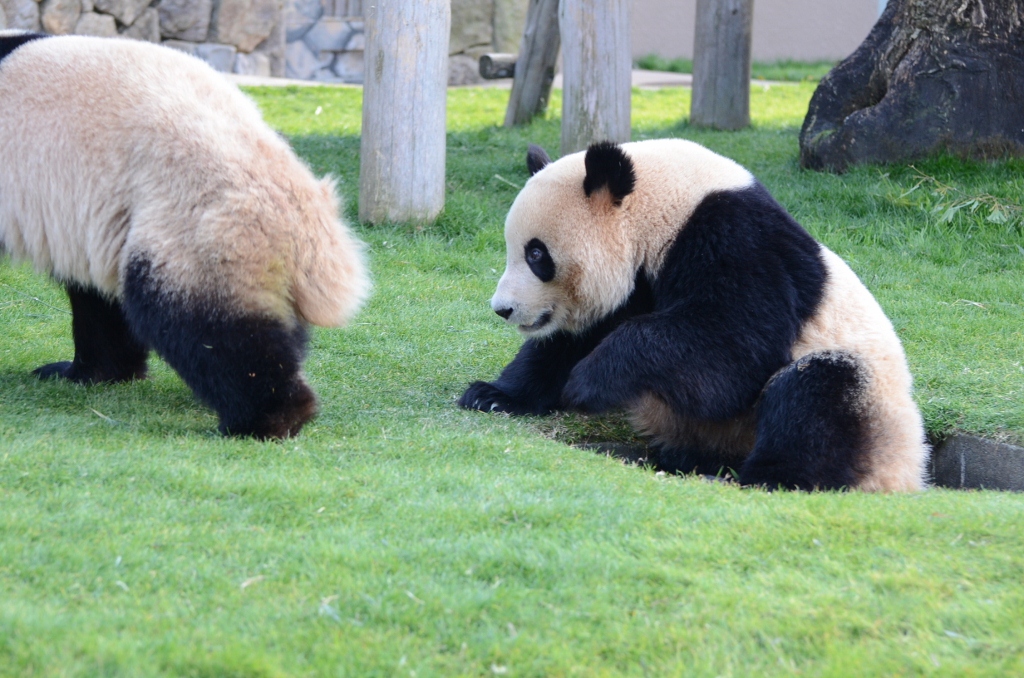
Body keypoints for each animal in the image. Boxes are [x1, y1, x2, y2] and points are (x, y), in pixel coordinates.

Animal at [460, 138, 933, 491]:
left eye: (536, 254)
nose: (503, 309)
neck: (663, 206)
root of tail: (911, 472)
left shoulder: (738, 241)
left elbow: (732, 350)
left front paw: (590, 382)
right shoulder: (634, 285)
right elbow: (570, 341)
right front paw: (494, 395)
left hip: (876, 407)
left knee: (818, 397)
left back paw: (758, 478)